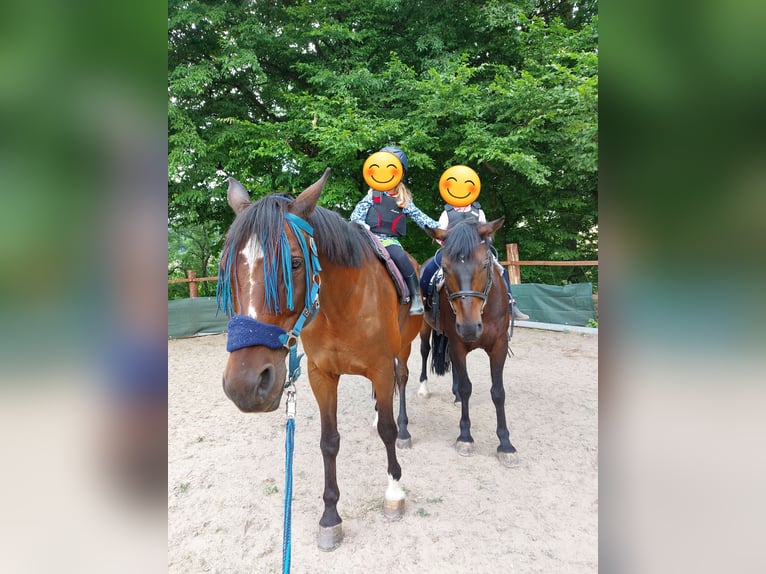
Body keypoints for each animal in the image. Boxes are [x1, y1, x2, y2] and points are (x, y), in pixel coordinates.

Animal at [219, 169, 424, 552]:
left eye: (295, 263)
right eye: (226, 268)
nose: (245, 385)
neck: (341, 306)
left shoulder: (380, 368)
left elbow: (387, 430)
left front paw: (394, 491)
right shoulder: (321, 375)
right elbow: (329, 441)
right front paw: (330, 517)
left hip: (404, 347)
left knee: (402, 380)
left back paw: (404, 426)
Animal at [416, 219, 520, 468]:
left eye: (484, 264)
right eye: (445, 267)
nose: (470, 327)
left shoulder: (499, 346)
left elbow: (498, 392)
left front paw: (506, 445)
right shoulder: (458, 343)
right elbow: (466, 387)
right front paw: (465, 437)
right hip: (426, 327)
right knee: (425, 350)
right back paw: (424, 387)